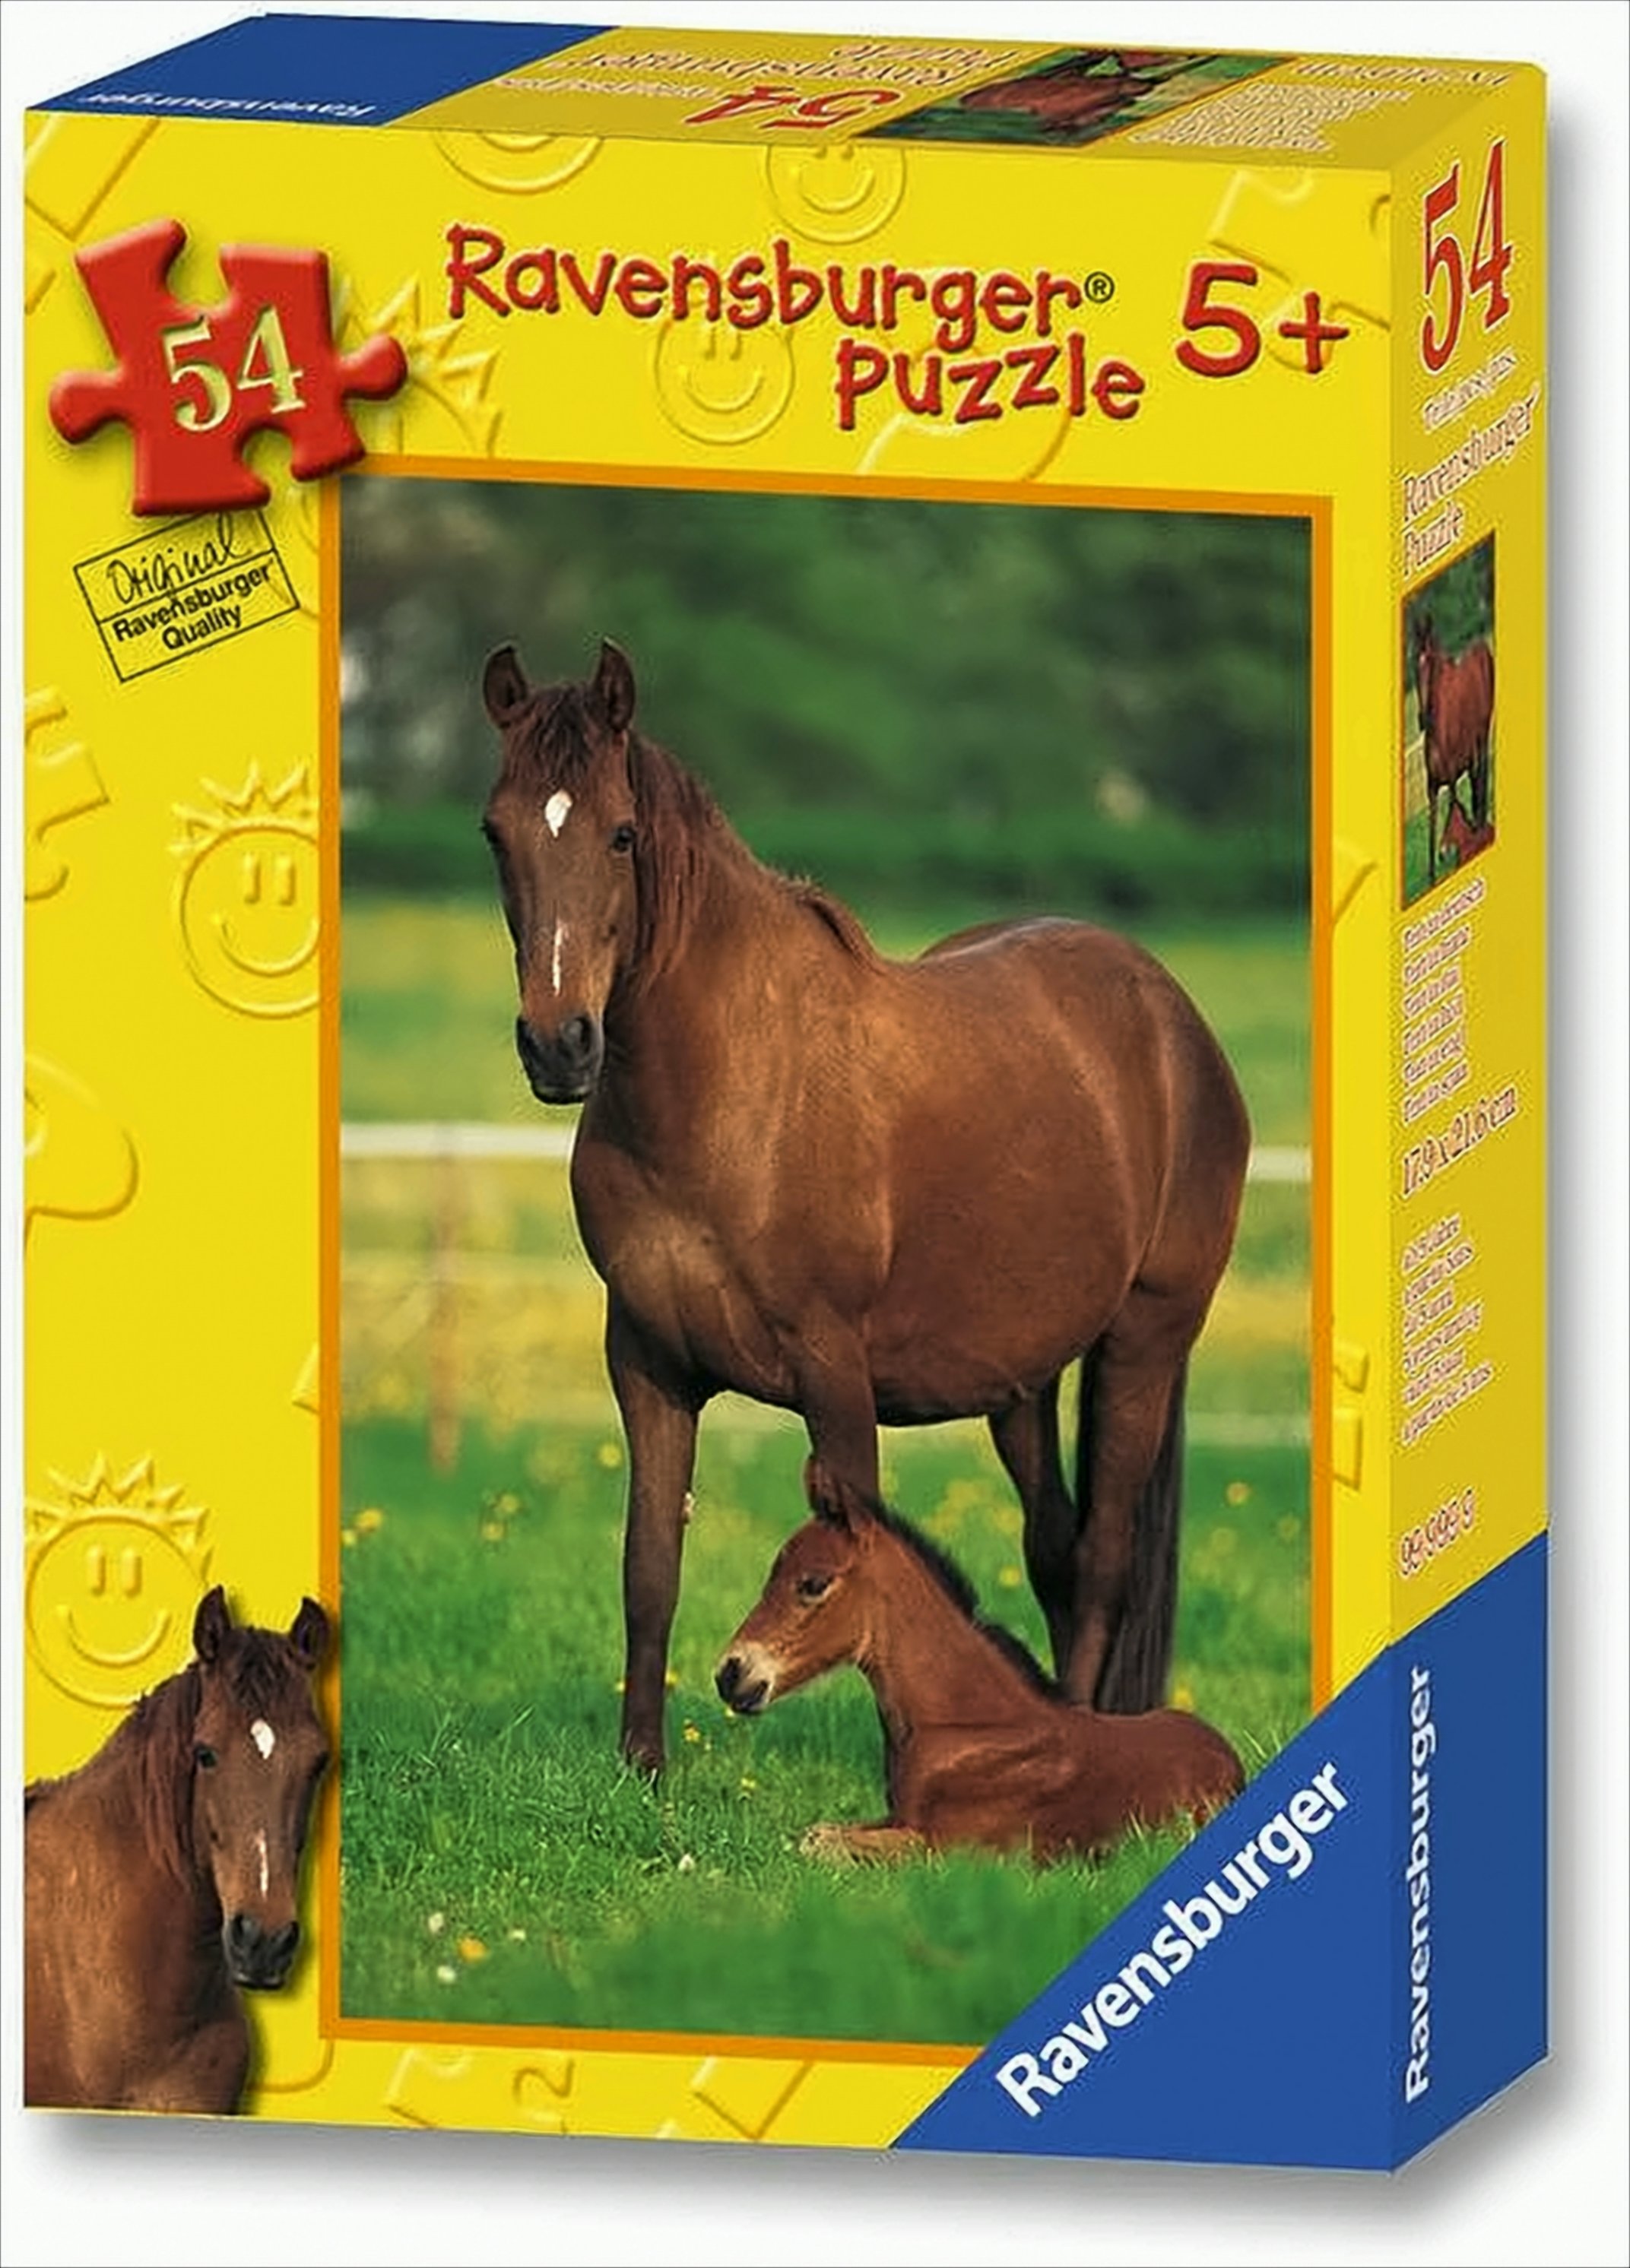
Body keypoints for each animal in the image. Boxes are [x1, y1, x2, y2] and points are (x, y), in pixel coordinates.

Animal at [482, 640, 1250, 1772]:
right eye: (495, 830)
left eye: (620, 832)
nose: (558, 1045)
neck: (727, 1091)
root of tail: (1170, 1017)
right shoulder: (648, 1365)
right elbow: (648, 1570)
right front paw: (642, 1773)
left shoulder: (832, 1371)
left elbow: (868, 1560)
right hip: (1020, 1384)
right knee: (1056, 1551)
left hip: (1144, 1342)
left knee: (1105, 1555)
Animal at [716, 1463, 1244, 1863]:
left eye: (813, 1584)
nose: (729, 1673)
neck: (967, 1724)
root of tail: (1229, 1757)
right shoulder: (898, 1819)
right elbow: (816, 1831)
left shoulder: (945, 1847)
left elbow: (817, 1842)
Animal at [1412, 612, 1494, 886]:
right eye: (1414, 665)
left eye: (1432, 663)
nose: (1423, 719)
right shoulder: (1433, 788)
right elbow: (1433, 826)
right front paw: (1432, 878)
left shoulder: (1451, 778)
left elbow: (1455, 807)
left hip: (1483, 735)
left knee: (1481, 776)